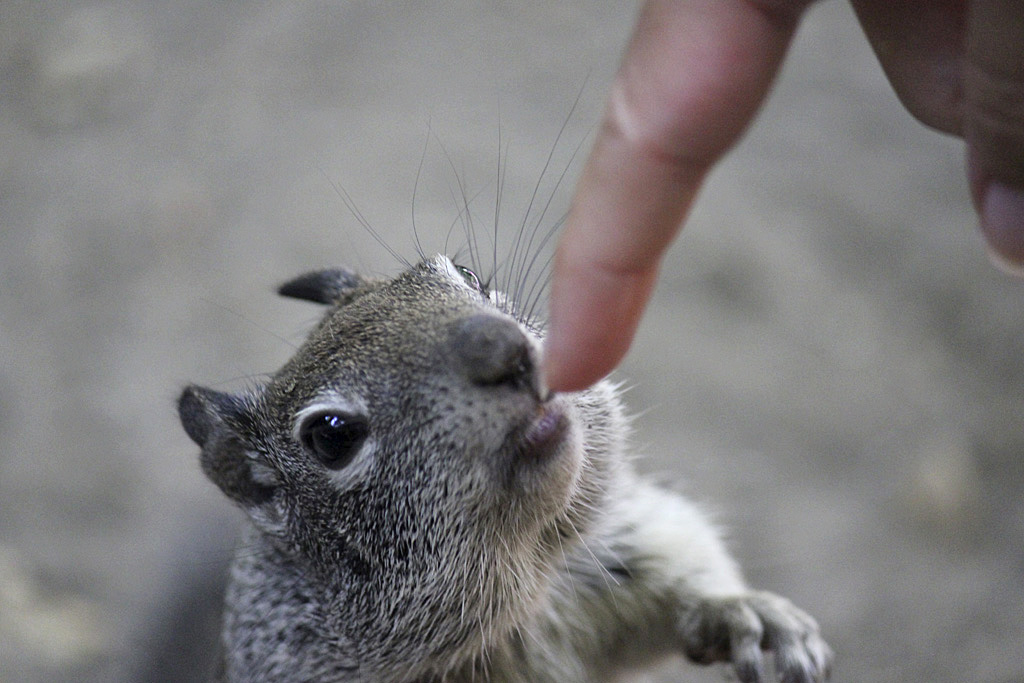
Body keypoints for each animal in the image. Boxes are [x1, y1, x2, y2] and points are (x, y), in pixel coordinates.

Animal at [178, 254, 832, 682]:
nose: (504, 348)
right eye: (331, 436)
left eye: (467, 275)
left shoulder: (614, 557)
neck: (527, 581)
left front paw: (745, 615)